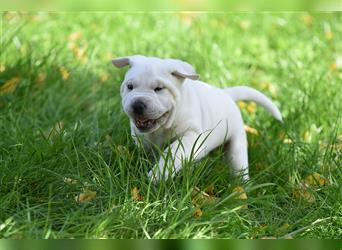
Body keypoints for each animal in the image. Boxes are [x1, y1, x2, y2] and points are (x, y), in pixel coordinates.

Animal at [112, 55, 284, 183]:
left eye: (159, 89)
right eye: (130, 86)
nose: (137, 105)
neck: (163, 127)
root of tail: (227, 94)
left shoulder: (191, 135)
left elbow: (173, 152)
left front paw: (157, 175)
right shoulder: (141, 137)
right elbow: (147, 148)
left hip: (237, 144)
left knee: (238, 165)